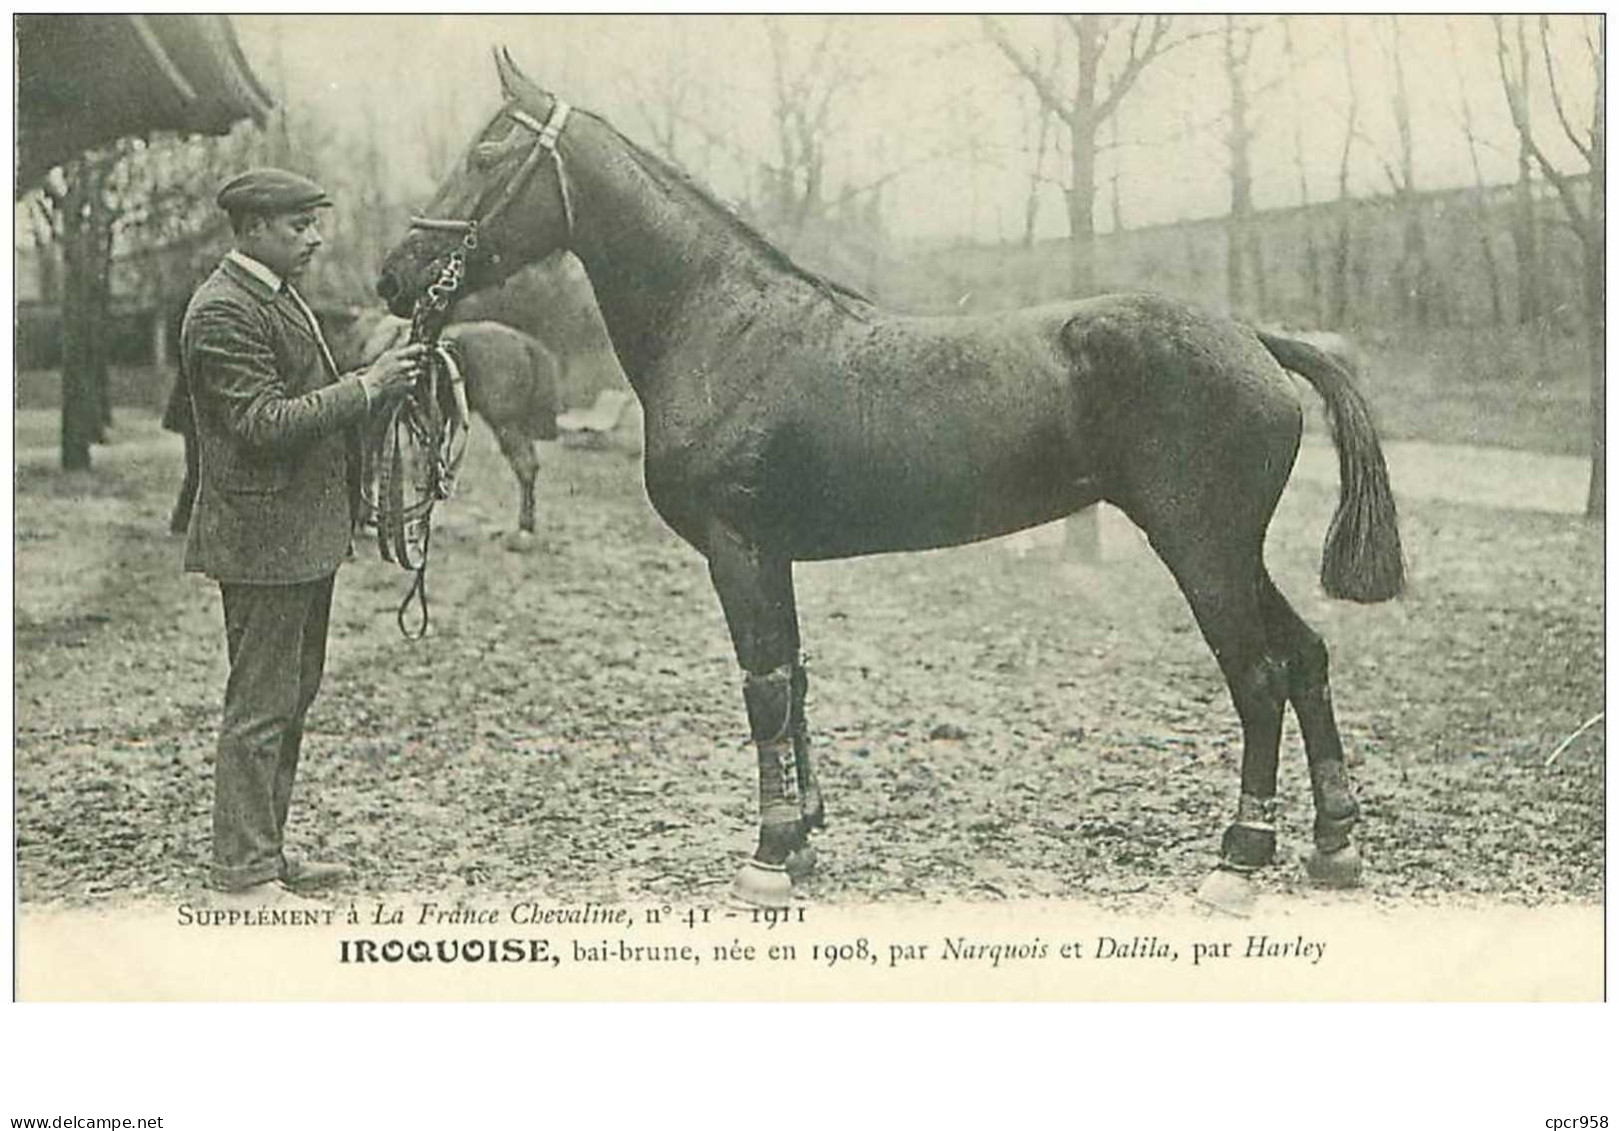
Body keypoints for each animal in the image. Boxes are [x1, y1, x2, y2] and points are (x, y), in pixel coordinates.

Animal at [378, 50, 1405, 912]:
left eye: (485, 153)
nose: (395, 274)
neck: (723, 326)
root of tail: (1255, 337)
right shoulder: (771, 554)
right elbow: (792, 678)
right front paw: (800, 838)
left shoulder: (737, 549)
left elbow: (762, 687)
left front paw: (766, 855)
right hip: (1231, 549)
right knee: (1306, 656)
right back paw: (1334, 844)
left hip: (1199, 547)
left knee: (1259, 678)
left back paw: (1238, 859)